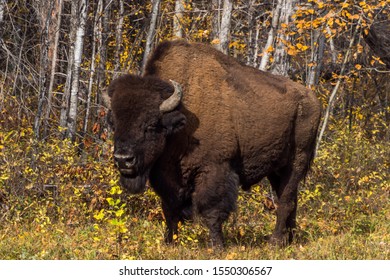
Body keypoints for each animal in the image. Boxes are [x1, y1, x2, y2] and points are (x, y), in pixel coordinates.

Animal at [103, 40, 320, 247]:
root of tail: (313, 99)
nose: (123, 160)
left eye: (150, 125)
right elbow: (170, 210)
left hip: (296, 163)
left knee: (285, 201)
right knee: (290, 200)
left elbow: (211, 210)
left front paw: (217, 247)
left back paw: (274, 243)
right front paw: (170, 243)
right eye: (114, 123)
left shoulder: (214, 169)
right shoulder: (166, 178)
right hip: (276, 170)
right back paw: (287, 241)